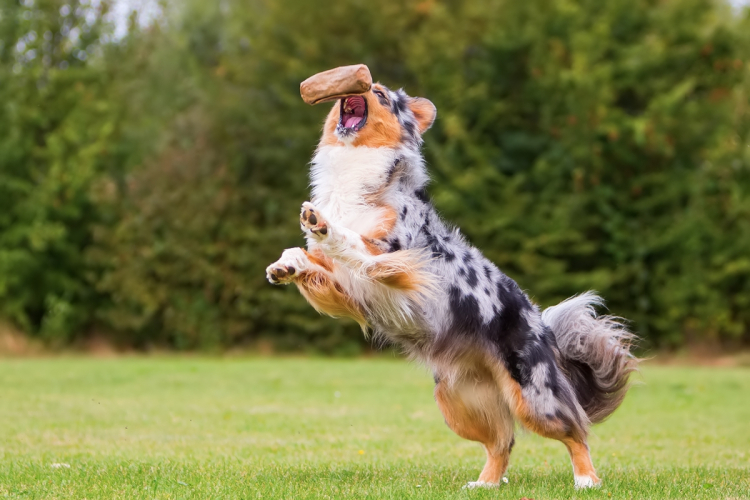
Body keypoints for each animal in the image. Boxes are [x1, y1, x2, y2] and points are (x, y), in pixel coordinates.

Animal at [268, 80, 636, 486]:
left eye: (381, 95)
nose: (363, 84)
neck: (354, 176)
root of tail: (542, 325)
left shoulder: (397, 261)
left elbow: (351, 243)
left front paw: (323, 225)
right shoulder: (347, 290)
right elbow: (313, 260)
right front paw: (287, 264)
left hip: (534, 395)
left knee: (575, 431)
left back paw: (586, 480)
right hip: (461, 401)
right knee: (502, 441)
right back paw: (485, 484)